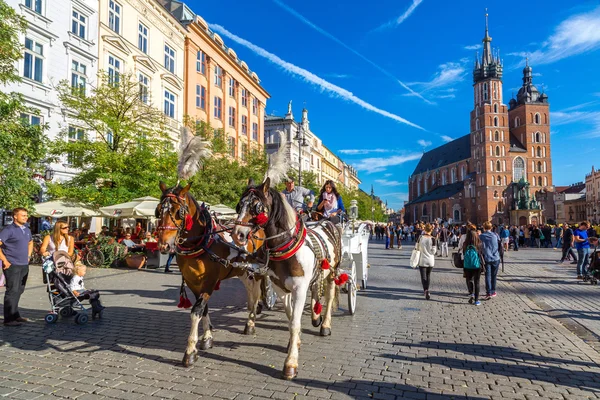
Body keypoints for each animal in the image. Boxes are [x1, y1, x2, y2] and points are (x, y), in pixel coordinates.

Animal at [156, 183, 266, 368]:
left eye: (179, 212)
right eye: (158, 211)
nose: (164, 245)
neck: (201, 243)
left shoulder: (209, 281)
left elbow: (196, 311)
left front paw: (190, 351)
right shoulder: (193, 282)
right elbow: (204, 309)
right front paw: (207, 338)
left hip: (258, 269)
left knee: (257, 292)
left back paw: (251, 322)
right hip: (242, 270)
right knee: (251, 292)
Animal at [230, 177, 342, 378]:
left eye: (257, 207)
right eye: (239, 205)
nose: (237, 234)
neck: (285, 246)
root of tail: (325, 222)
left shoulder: (299, 290)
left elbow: (295, 323)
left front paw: (291, 363)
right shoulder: (280, 288)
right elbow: (290, 319)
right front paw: (294, 343)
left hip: (333, 273)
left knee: (329, 299)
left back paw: (325, 325)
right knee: (316, 290)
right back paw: (316, 316)